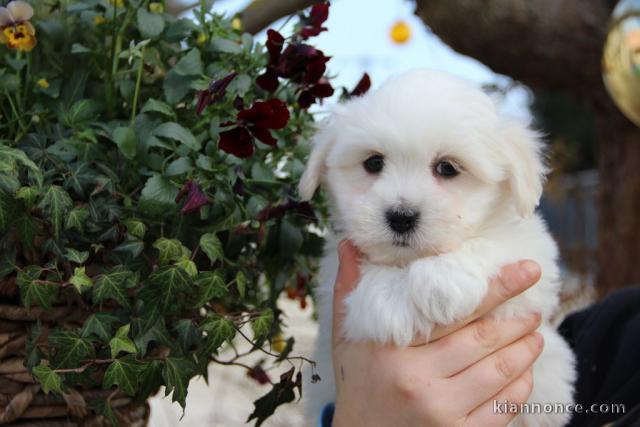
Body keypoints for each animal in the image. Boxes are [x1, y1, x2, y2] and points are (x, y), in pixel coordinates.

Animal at [302, 70, 580, 427]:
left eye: (448, 168)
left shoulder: (532, 263)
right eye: (374, 162)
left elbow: (496, 244)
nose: (401, 217)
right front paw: (390, 303)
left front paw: (441, 283)